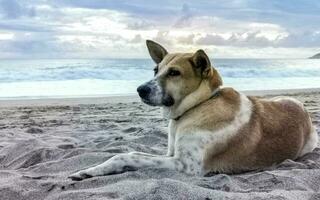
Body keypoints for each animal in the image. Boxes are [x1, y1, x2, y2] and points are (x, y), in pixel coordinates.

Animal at [69, 39, 318, 180]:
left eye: (174, 73)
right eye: (156, 70)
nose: (140, 90)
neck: (200, 104)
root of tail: (303, 109)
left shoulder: (185, 165)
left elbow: (126, 155)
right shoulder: (170, 155)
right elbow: (130, 157)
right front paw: (90, 170)